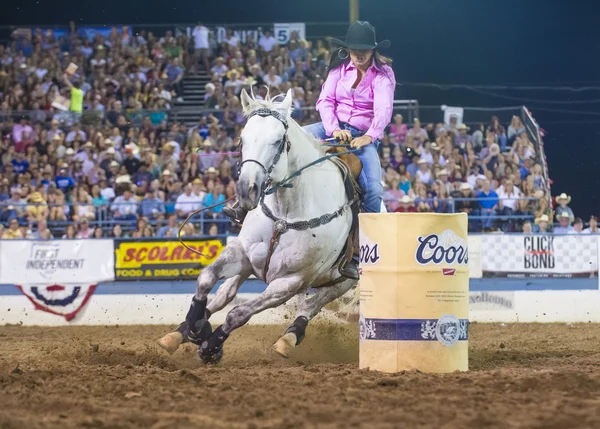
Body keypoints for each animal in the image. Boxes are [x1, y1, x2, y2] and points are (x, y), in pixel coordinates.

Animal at [157, 89, 358, 362]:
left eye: (278, 141)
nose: (247, 189)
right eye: (242, 139)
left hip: (343, 281)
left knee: (309, 306)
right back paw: (180, 333)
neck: (286, 215)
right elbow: (207, 279)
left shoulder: (291, 281)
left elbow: (238, 313)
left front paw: (211, 347)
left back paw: (288, 339)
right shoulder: (241, 253)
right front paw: (194, 327)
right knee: (225, 294)